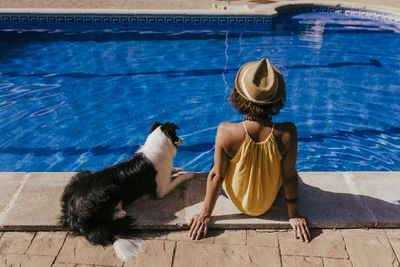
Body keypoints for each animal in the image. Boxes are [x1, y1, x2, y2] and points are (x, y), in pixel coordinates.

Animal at [59, 122, 195, 262]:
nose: (181, 139)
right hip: (111, 190)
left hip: (82, 174)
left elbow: (173, 171)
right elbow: (178, 178)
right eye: (175, 135)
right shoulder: (162, 190)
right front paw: (189, 173)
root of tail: (72, 210)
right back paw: (120, 213)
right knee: (107, 217)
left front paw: (178, 168)